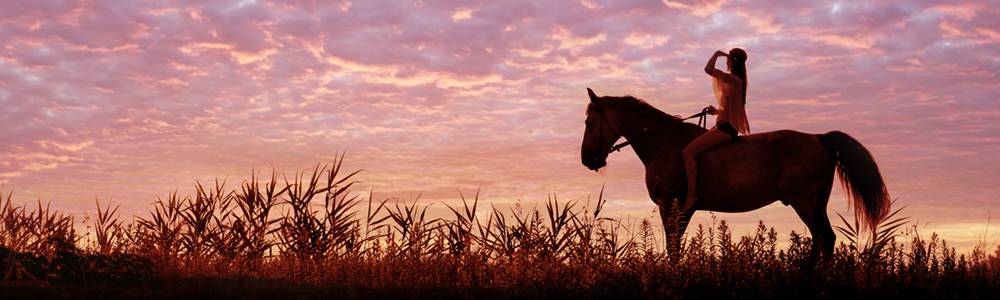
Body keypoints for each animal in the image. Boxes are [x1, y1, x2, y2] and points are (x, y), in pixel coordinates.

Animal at [580, 88, 892, 254]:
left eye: (589, 123)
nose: (587, 160)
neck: (664, 142)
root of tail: (818, 137)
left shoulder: (670, 205)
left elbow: (673, 247)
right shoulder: (683, 209)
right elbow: (676, 245)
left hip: (802, 199)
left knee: (823, 237)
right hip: (818, 200)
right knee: (824, 239)